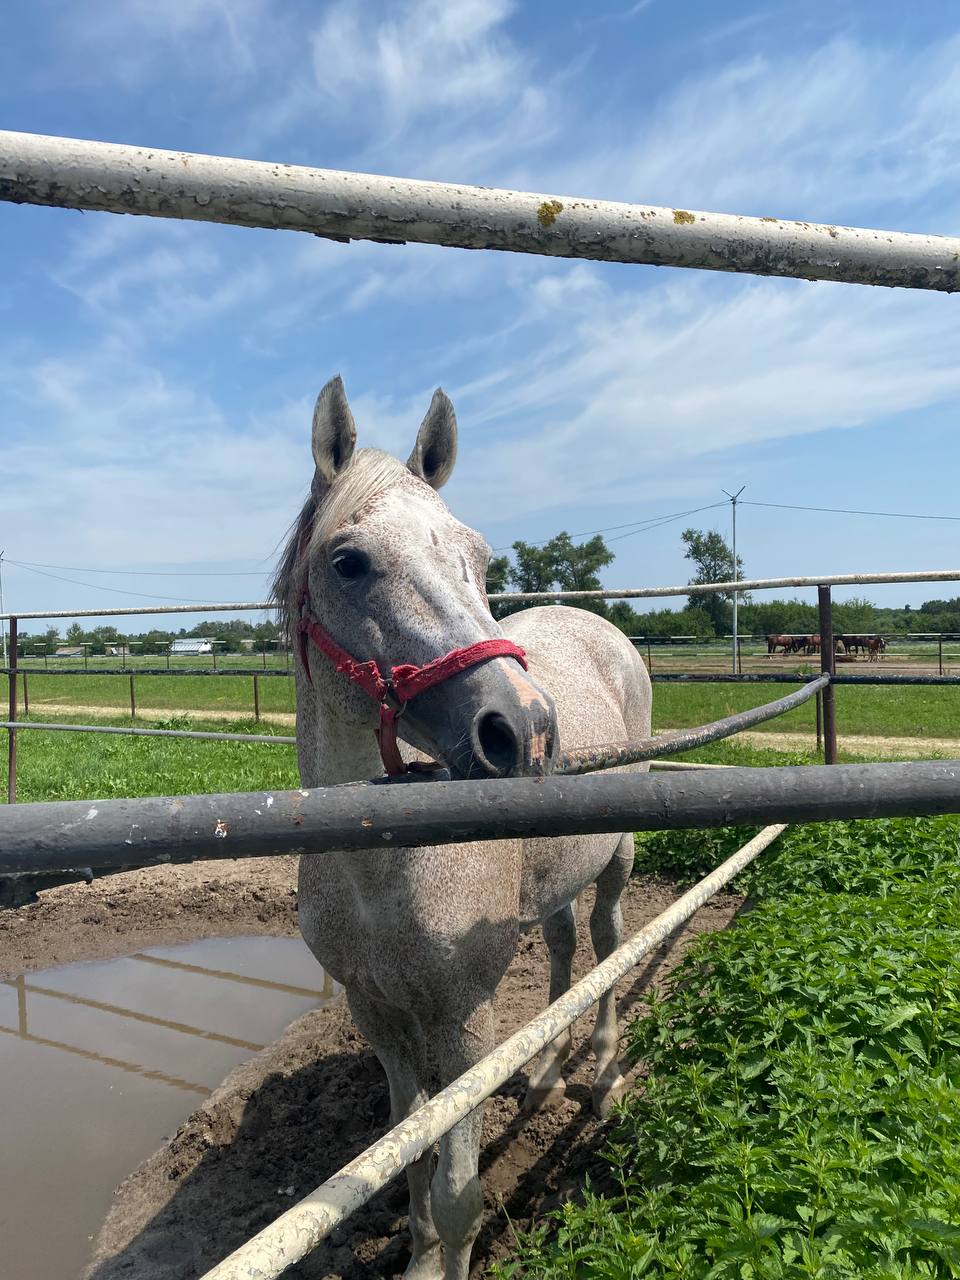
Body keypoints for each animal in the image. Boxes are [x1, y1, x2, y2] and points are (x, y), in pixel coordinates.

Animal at [273, 377, 650, 1280]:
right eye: (348, 562)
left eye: (479, 560)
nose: (528, 728)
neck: (381, 871)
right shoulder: (380, 1017)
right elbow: (407, 1161)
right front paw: (417, 1257)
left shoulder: (465, 1026)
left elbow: (457, 1192)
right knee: (563, 951)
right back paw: (544, 1071)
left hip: (617, 861)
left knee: (608, 943)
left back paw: (602, 1073)